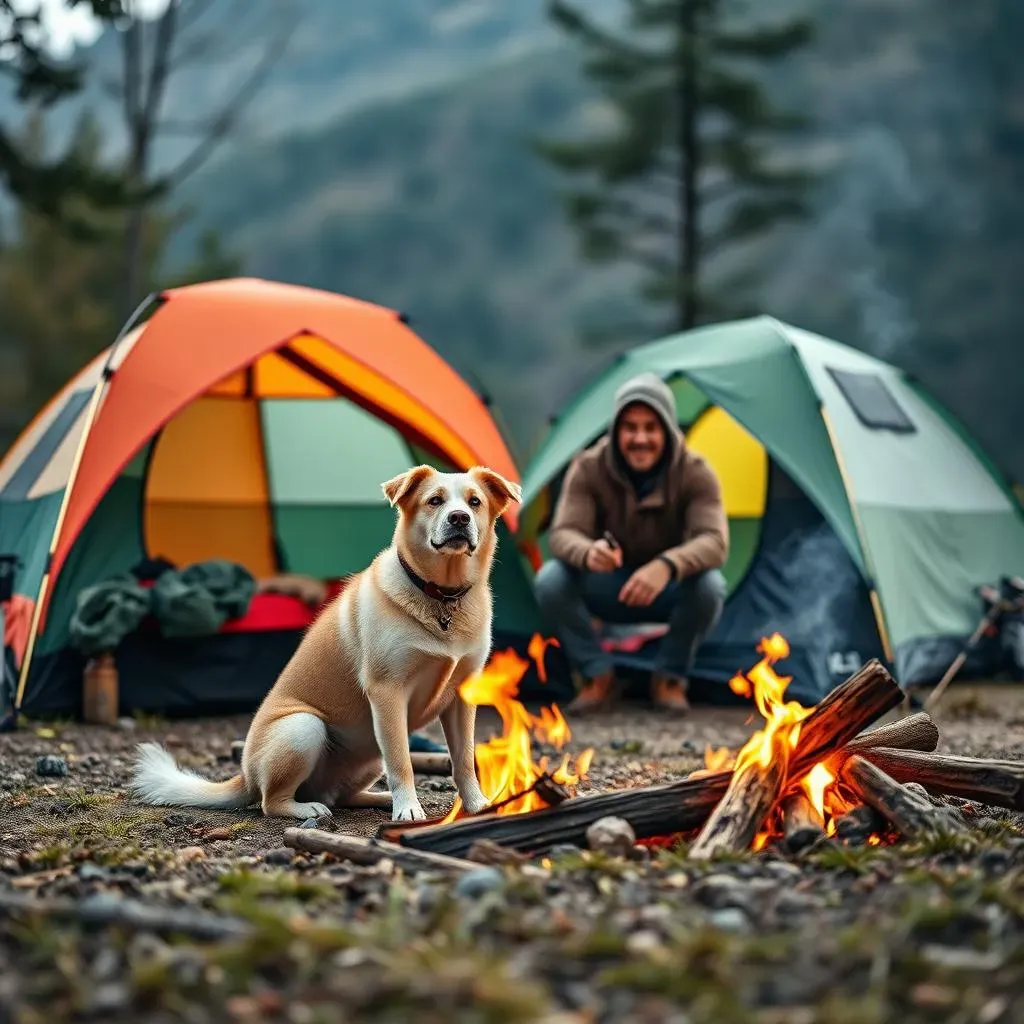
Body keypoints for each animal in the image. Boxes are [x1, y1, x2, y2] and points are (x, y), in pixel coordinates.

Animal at [129, 464, 524, 823]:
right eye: (435, 500)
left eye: (474, 502)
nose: (459, 518)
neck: (442, 597)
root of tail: (244, 775)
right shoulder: (388, 692)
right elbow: (403, 762)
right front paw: (409, 810)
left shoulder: (462, 697)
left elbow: (464, 759)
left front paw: (477, 804)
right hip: (304, 727)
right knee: (273, 802)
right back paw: (309, 808)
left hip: (368, 756)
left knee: (342, 795)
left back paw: (377, 798)